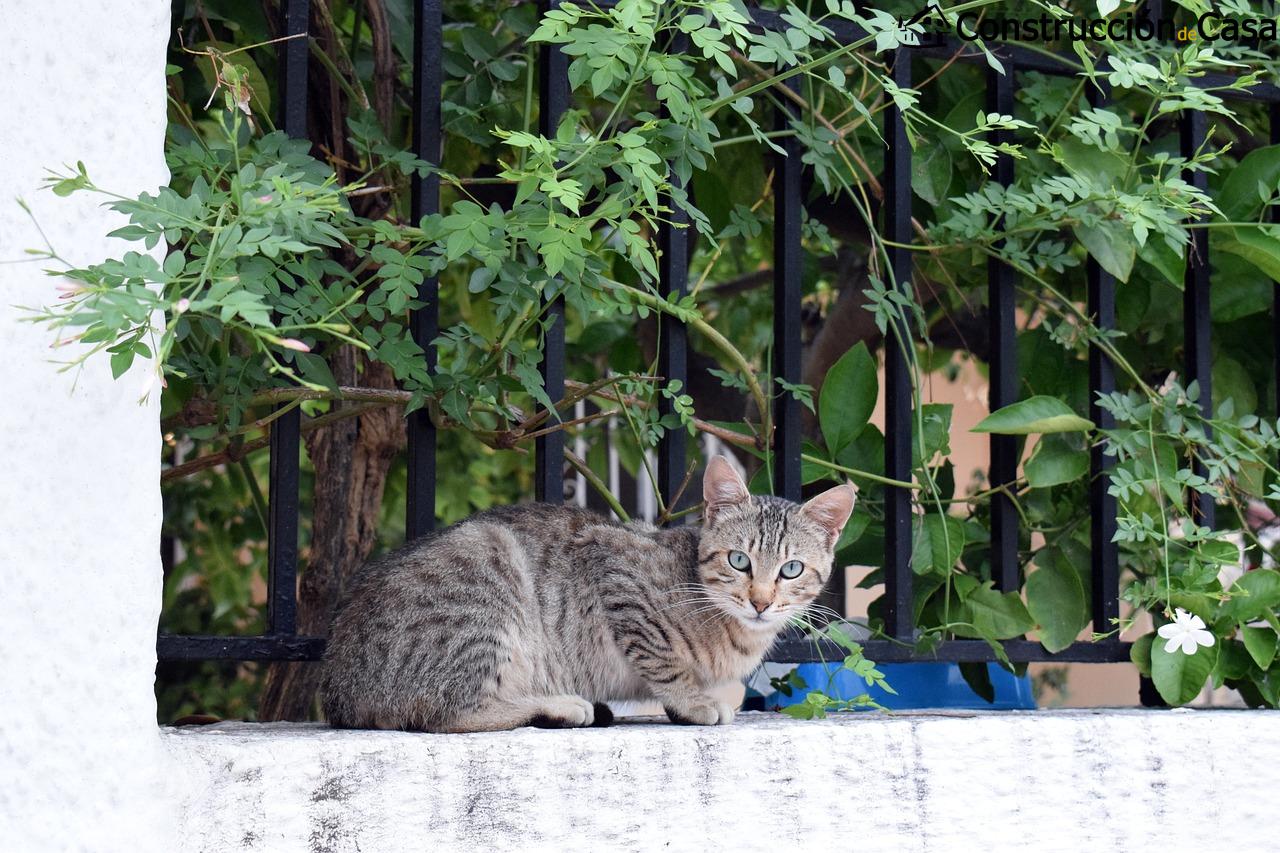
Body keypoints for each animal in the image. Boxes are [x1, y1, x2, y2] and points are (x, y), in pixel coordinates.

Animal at [320, 455, 855, 727]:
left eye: (791, 569)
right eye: (738, 560)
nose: (761, 602)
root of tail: (338, 687)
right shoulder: (613, 564)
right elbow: (664, 657)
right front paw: (692, 700)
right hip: (486, 575)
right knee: (447, 712)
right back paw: (558, 706)